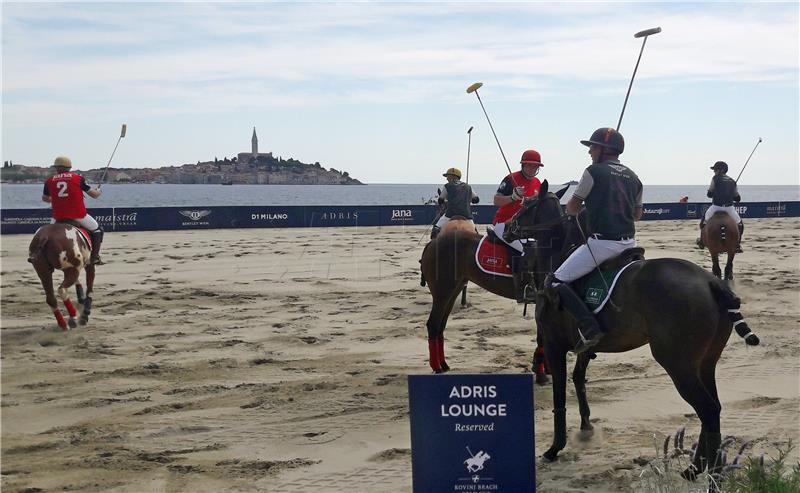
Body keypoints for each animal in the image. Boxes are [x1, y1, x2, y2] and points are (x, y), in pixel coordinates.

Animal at [506, 181, 756, 484]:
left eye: (526, 205)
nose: (507, 228)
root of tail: (711, 282)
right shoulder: (585, 346)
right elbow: (579, 381)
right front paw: (586, 427)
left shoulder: (554, 345)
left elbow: (560, 397)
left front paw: (555, 448)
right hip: (706, 361)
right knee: (714, 407)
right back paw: (702, 468)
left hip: (677, 363)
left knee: (707, 409)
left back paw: (707, 472)